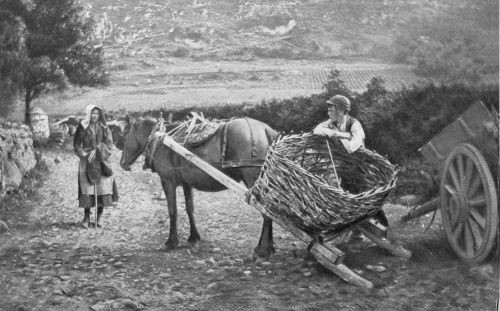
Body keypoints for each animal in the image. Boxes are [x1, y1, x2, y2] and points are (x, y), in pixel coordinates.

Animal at [119, 116, 280, 260]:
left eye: (125, 135)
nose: (122, 163)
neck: (160, 140)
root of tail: (265, 129)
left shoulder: (167, 181)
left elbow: (172, 211)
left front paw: (172, 241)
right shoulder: (186, 183)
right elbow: (190, 209)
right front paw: (193, 236)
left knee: (266, 213)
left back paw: (262, 250)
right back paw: (268, 247)